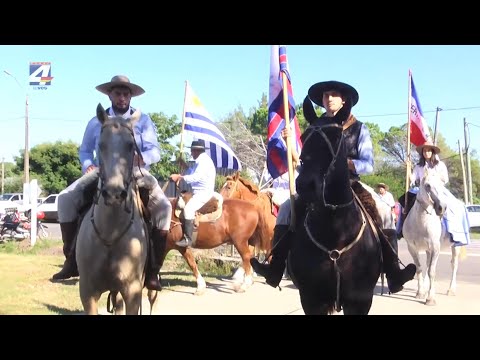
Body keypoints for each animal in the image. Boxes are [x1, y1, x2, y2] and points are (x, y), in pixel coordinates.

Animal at [284, 98, 382, 316]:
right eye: (303, 136)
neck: (336, 231)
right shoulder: (311, 300)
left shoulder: (360, 301)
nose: (305, 185)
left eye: (336, 137)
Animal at [404, 170, 462, 306]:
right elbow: (420, 269)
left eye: (442, 186)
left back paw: (451, 290)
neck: (421, 223)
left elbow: (432, 271)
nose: (442, 207)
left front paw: (430, 298)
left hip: (456, 247)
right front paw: (420, 293)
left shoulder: (435, 248)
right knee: (427, 264)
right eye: (427, 185)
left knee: (454, 265)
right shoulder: (412, 248)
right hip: (428, 250)